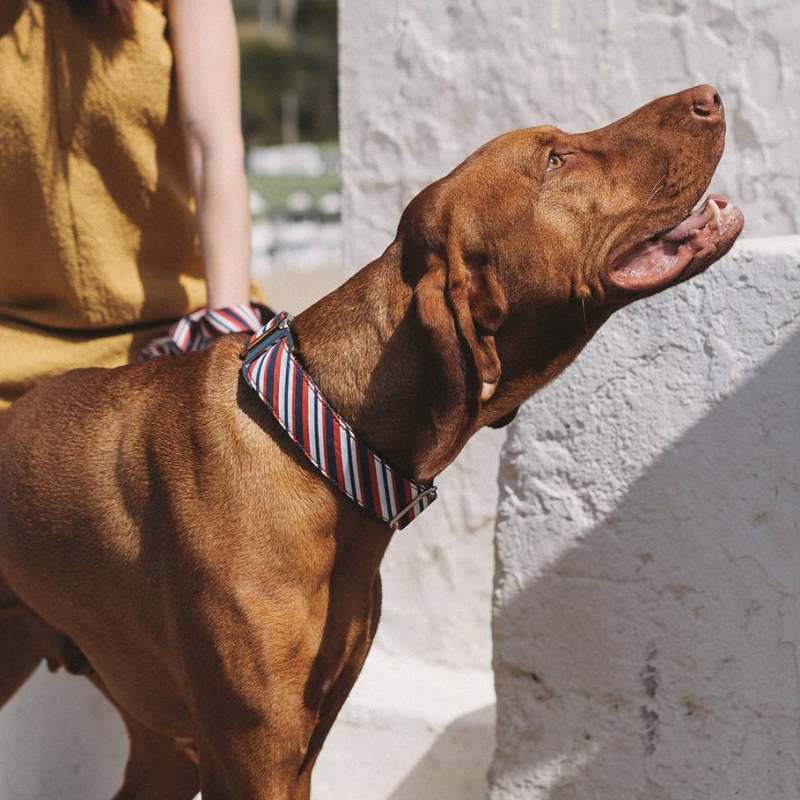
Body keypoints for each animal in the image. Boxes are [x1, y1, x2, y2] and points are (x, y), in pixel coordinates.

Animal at [1, 84, 744, 796]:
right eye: (556, 160)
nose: (710, 95)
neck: (321, 448)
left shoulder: (301, 747)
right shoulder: (254, 757)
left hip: (165, 742)